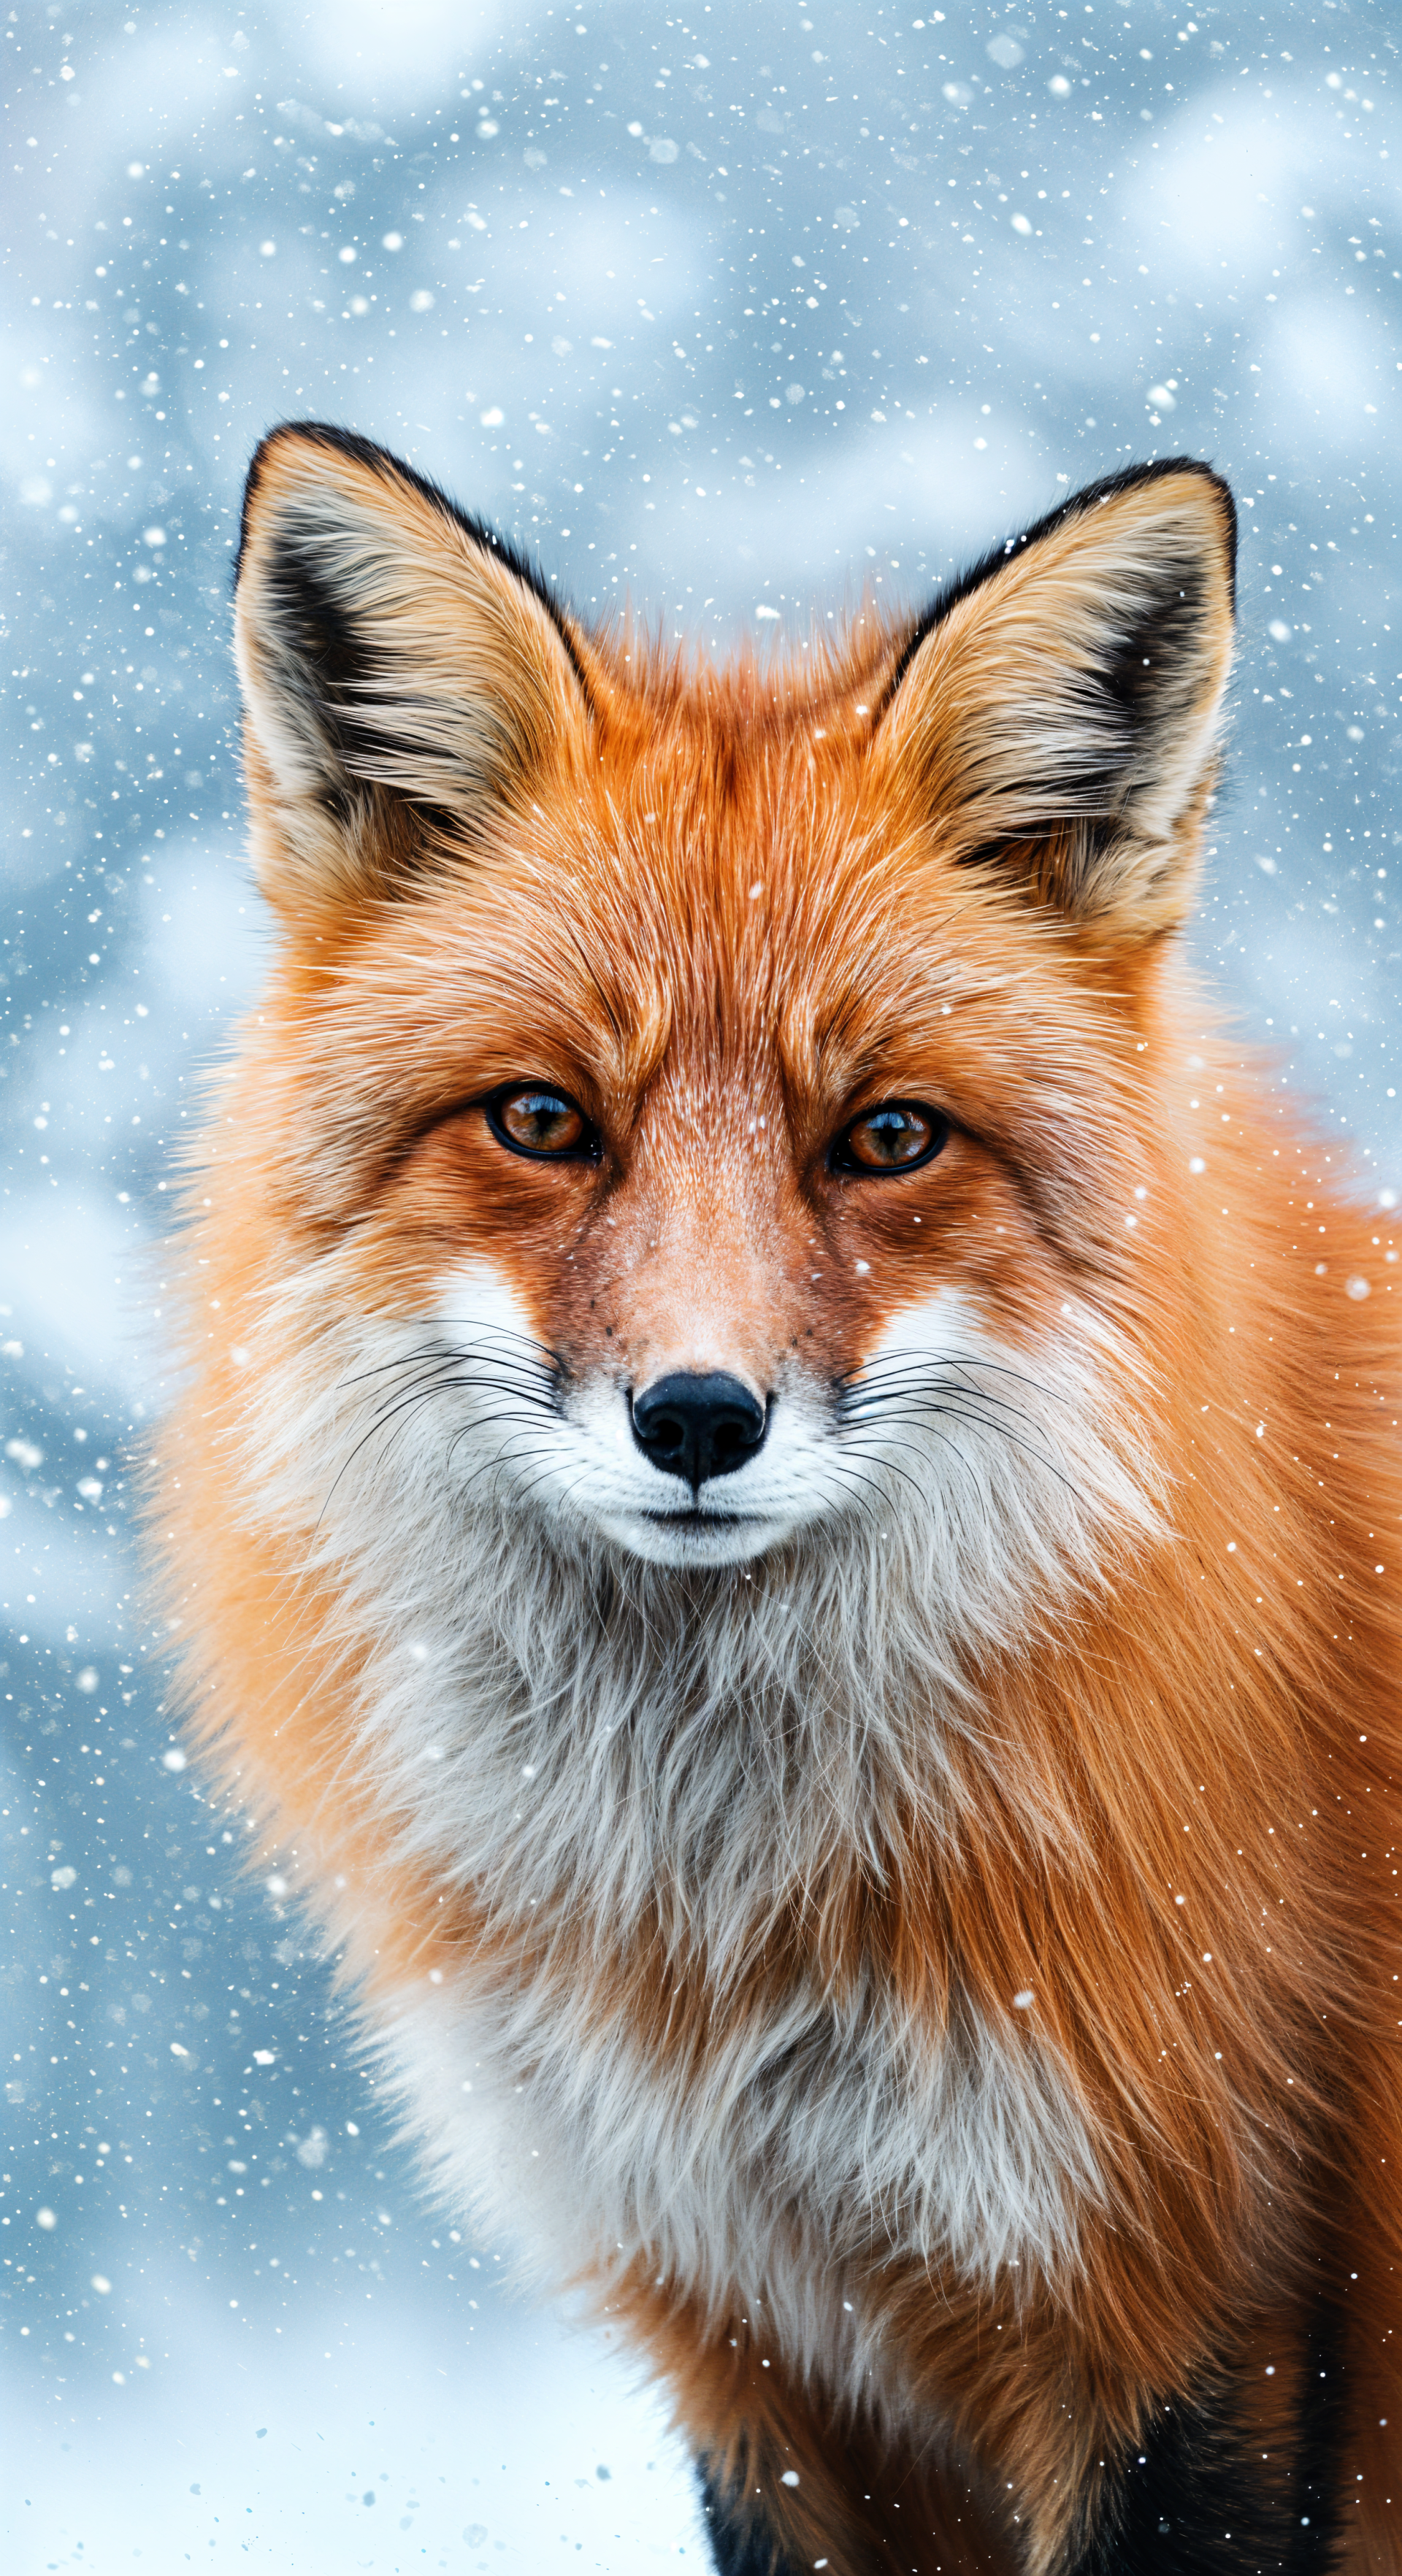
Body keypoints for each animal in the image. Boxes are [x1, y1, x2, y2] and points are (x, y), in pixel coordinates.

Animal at [156, 421, 1402, 2575]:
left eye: (887, 1138)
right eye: (543, 1121)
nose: (697, 1416)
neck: (743, 1944)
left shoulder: (1210, 2331)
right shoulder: (769, 2361)